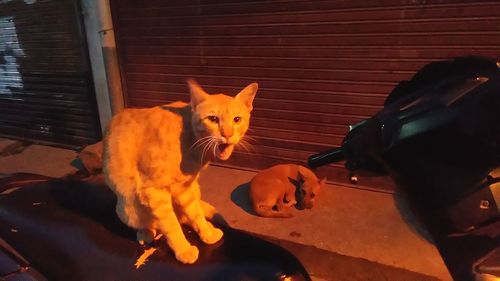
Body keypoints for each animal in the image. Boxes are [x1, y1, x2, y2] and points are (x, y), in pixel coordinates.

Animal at [101, 79, 258, 262]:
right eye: (213, 119)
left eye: (237, 119)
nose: (227, 134)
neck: (190, 140)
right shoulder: (155, 191)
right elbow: (171, 225)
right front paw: (183, 249)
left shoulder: (185, 189)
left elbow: (195, 214)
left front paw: (206, 233)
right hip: (127, 210)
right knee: (153, 223)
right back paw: (146, 232)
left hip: (194, 190)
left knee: (187, 215)